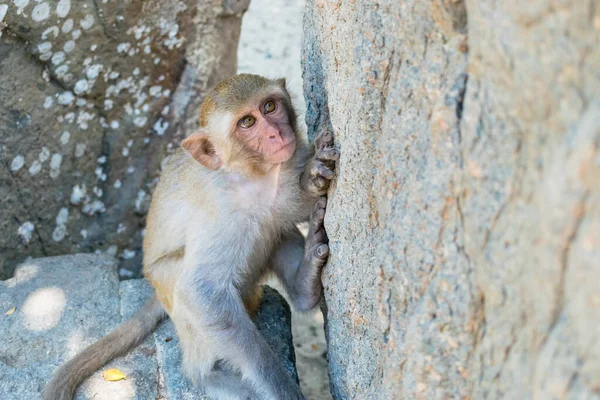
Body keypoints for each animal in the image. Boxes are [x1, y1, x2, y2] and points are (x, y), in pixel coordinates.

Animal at [43, 72, 338, 400]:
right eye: (247, 122)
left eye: (270, 106)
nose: (276, 133)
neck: (252, 173)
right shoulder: (221, 212)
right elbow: (201, 290)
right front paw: (281, 388)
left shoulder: (292, 155)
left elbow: (285, 211)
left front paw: (312, 178)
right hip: (168, 283)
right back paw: (208, 377)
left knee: (273, 229)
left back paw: (304, 288)